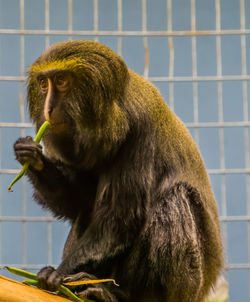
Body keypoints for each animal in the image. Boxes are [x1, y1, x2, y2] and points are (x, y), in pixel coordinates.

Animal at [13, 40, 224, 302]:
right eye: (43, 84)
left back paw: (114, 293)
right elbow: (78, 204)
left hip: (188, 284)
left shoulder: (140, 130)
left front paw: (59, 274)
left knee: (174, 197)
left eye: (61, 81)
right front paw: (31, 156)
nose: (48, 108)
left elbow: (120, 220)